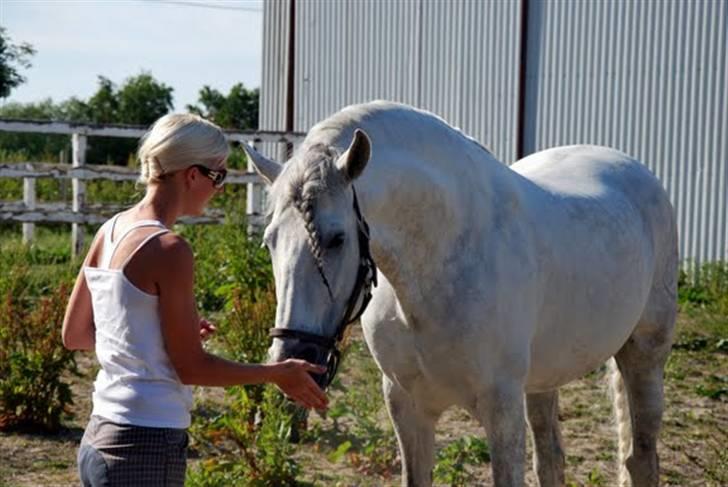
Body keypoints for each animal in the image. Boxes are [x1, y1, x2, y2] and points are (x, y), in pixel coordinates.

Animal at [243, 101, 676, 486]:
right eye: (269, 241)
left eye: (337, 238)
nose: (291, 358)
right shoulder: (407, 405)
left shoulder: (502, 410)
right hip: (543, 379)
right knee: (552, 460)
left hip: (644, 356)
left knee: (640, 460)